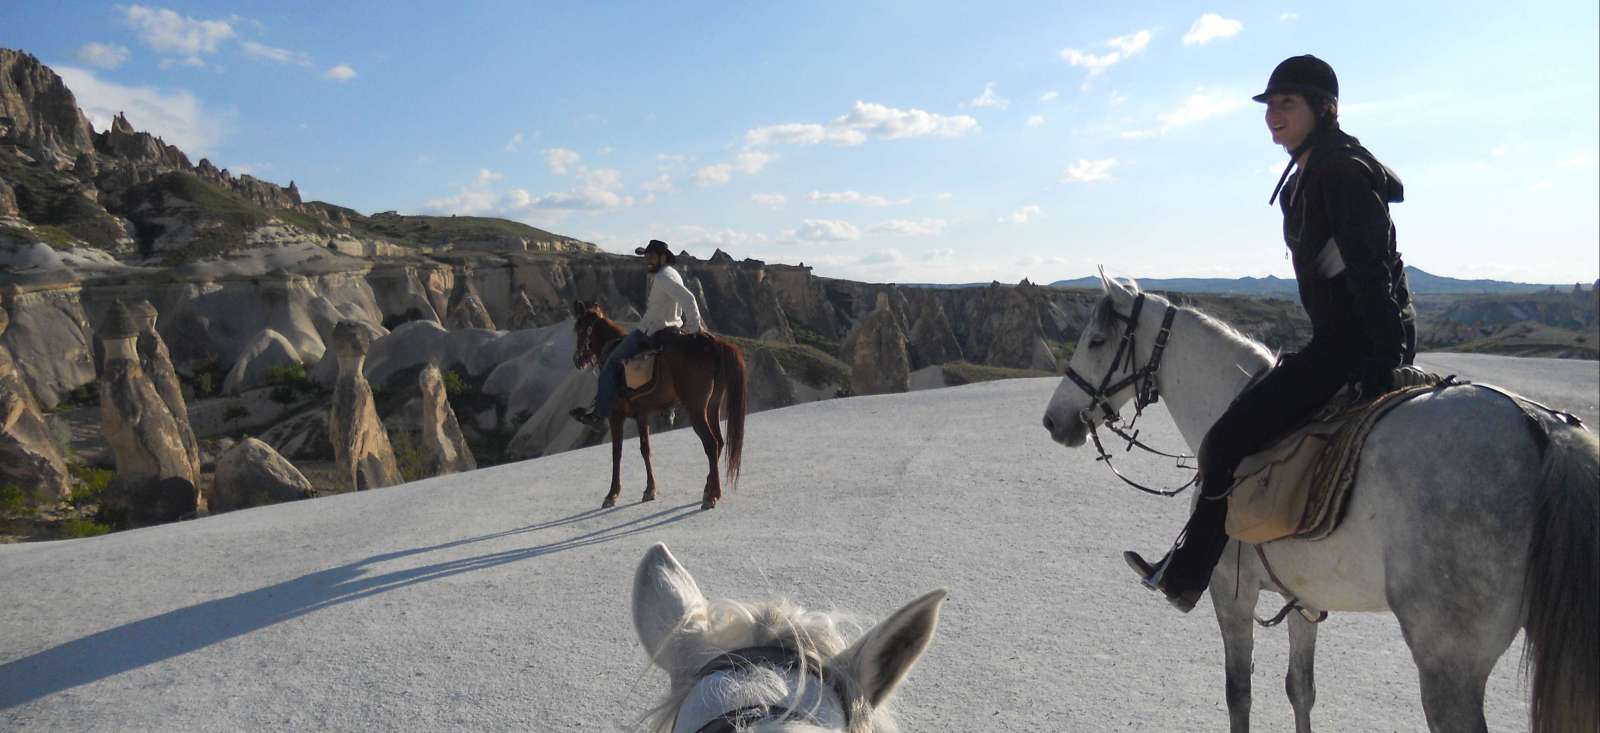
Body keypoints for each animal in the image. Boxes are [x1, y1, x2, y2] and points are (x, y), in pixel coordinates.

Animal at [576, 297, 748, 508]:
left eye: (579, 329)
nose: (577, 359)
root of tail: (713, 344)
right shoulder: (642, 414)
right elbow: (645, 449)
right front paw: (649, 490)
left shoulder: (616, 415)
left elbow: (617, 452)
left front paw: (612, 494)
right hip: (712, 406)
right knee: (720, 441)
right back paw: (708, 488)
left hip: (696, 408)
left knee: (711, 443)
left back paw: (712, 495)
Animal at [1043, 276, 1593, 733]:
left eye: (1096, 341)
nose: (1053, 420)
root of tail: (1543, 427)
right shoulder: (1303, 599)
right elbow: (1300, 689)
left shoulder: (1231, 593)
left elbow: (1238, 694)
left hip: (1447, 661)